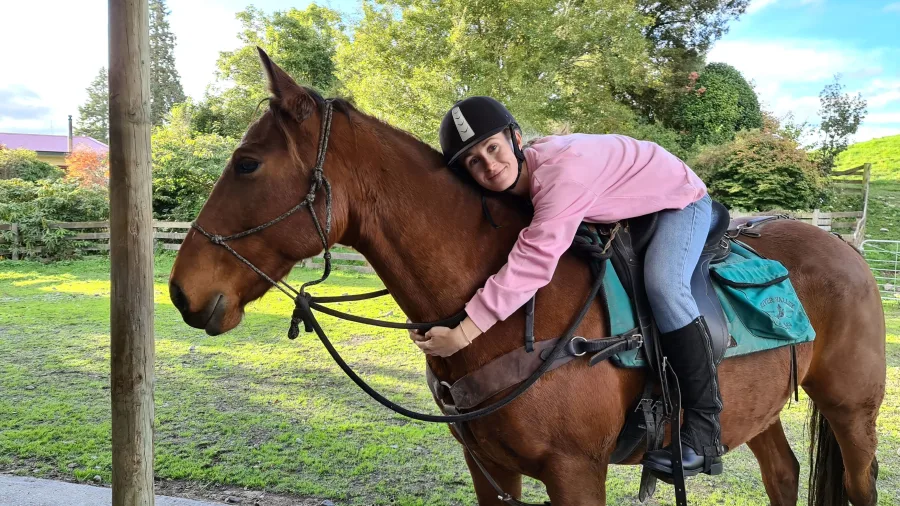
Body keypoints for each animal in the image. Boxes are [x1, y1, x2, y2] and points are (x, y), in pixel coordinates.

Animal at [168, 50, 885, 506]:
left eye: (247, 164)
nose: (181, 290)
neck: (512, 313)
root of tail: (844, 248)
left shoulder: (576, 475)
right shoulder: (489, 470)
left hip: (851, 409)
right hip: (759, 409)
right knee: (783, 475)